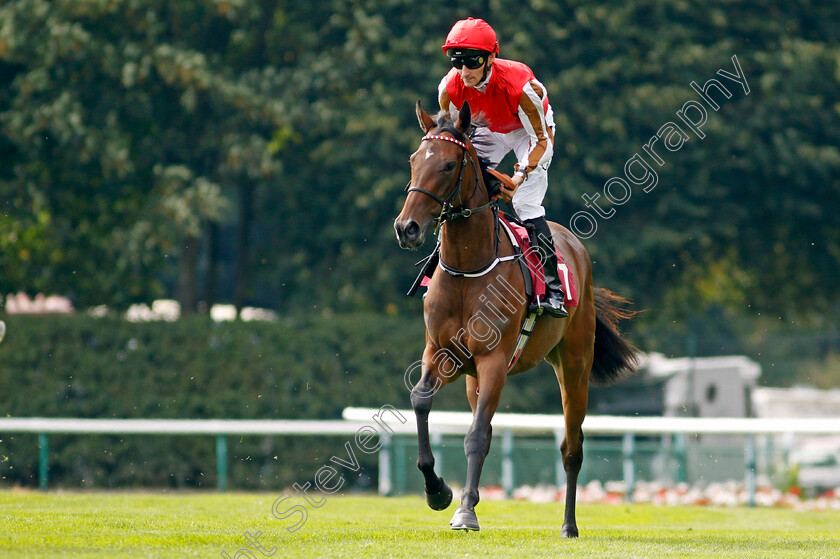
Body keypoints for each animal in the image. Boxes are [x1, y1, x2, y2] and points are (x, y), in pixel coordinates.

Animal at [394, 101, 636, 540]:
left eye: (449, 164)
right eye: (414, 160)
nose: (407, 228)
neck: (468, 270)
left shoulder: (493, 361)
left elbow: (475, 436)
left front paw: (466, 512)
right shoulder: (441, 352)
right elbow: (421, 400)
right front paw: (439, 492)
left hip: (574, 364)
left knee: (572, 447)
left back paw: (569, 525)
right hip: (474, 378)